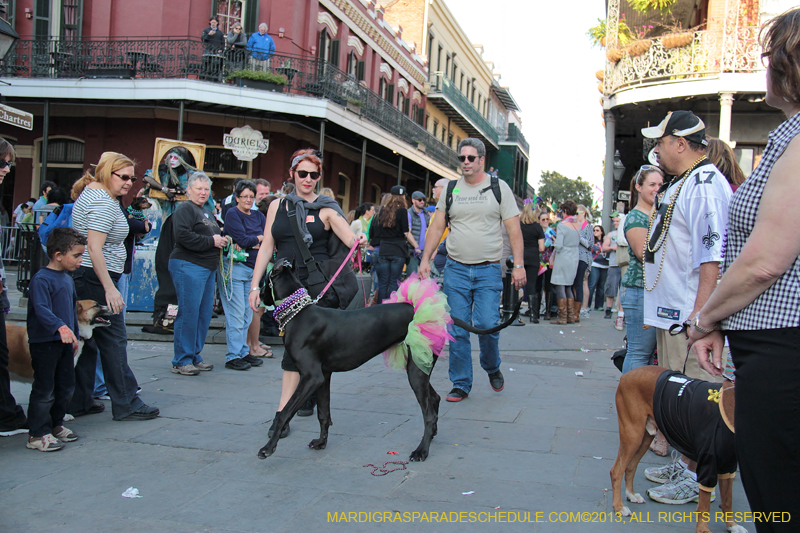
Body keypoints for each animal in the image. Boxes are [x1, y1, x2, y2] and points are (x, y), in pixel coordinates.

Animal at [612, 366, 744, 532]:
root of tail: (628, 374)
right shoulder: (708, 464)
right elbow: (704, 506)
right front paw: (703, 529)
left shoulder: (728, 467)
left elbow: (728, 500)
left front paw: (732, 526)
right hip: (632, 435)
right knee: (616, 471)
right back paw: (618, 506)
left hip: (645, 437)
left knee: (630, 467)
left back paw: (631, 494)